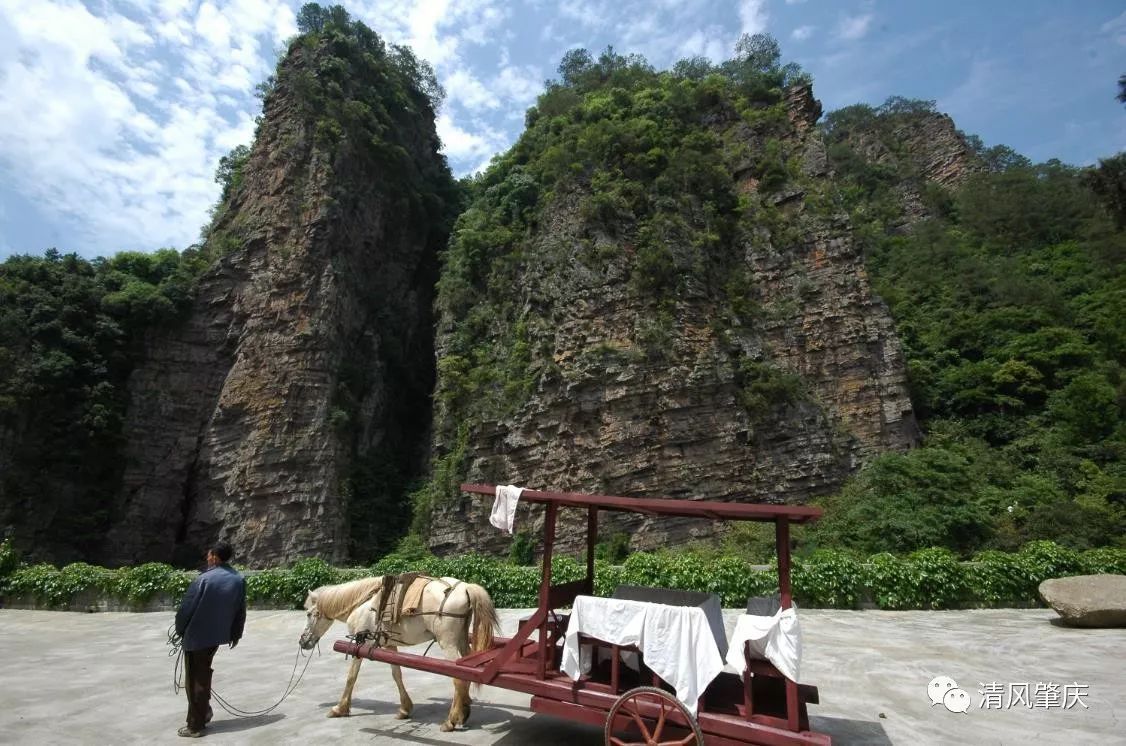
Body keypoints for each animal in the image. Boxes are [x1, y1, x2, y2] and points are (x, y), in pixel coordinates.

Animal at [297, 576, 499, 729]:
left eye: (308, 614)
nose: (303, 641)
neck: (363, 603)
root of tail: (464, 587)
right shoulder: (389, 646)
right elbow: (397, 674)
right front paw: (404, 709)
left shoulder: (360, 644)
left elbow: (351, 677)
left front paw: (340, 708)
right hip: (462, 640)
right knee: (466, 672)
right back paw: (464, 711)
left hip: (447, 643)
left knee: (458, 677)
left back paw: (451, 720)